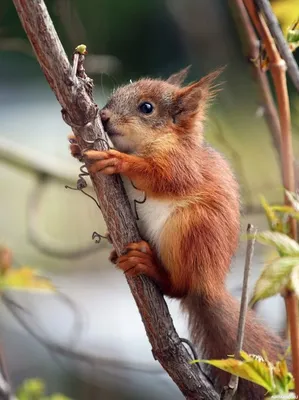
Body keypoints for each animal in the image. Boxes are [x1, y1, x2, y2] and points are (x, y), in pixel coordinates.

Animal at [69, 67, 290, 398]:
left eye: (147, 108)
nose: (103, 116)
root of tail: (208, 283)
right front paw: (74, 143)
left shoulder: (183, 165)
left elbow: (162, 175)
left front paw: (118, 160)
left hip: (190, 228)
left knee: (178, 287)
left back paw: (149, 265)